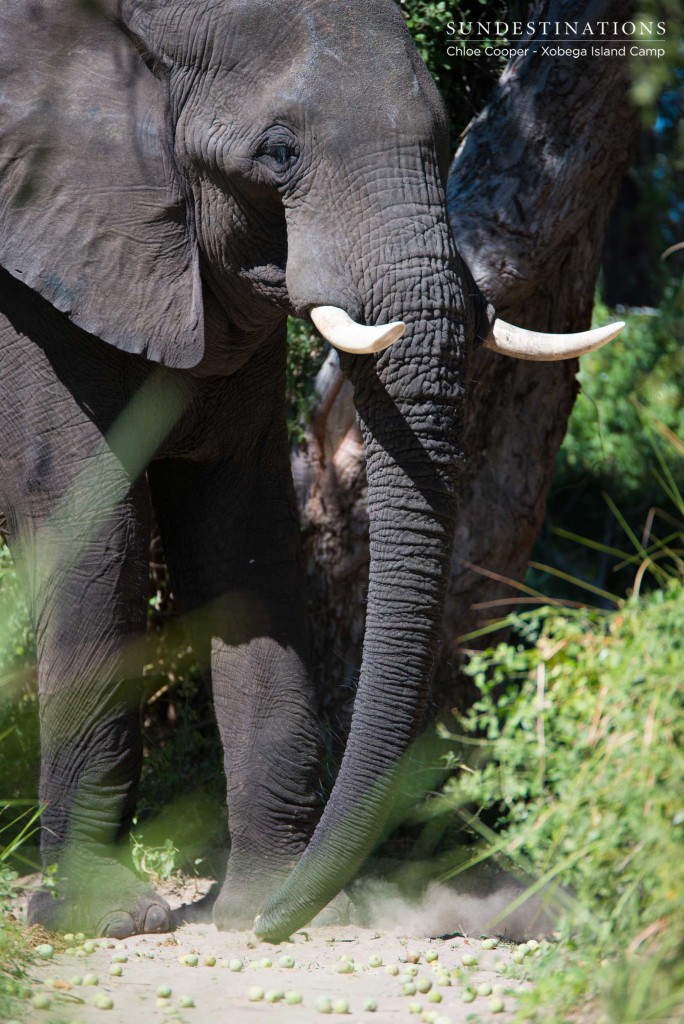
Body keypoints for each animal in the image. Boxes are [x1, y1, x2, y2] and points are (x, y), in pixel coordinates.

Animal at [0, 0, 622, 942]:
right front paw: (105, 919)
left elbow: (244, 537)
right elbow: (96, 526)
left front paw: (269, 903)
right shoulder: (34, 290)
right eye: (280, 153)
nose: (272, 925)